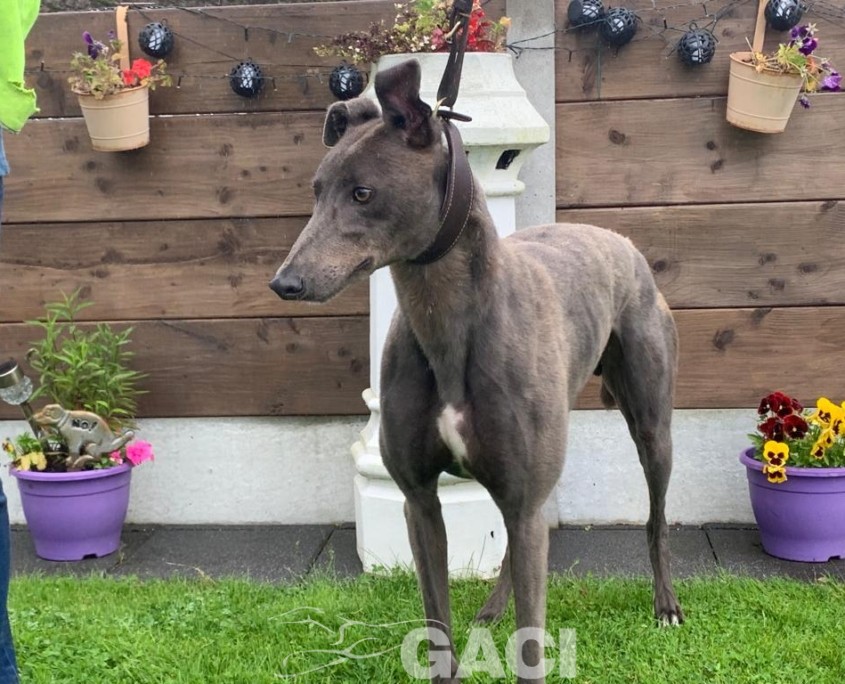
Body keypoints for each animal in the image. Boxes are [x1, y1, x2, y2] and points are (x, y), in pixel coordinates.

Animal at [270, 60, 683, 683]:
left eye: (363, 192)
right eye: (316, 191)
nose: (285, 282)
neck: (448, 326)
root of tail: (619, 240)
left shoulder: (524, 494)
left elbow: (532, 645)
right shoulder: (420, 500)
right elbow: (437, 623)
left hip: (650, 421)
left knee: (655, 518)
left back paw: (666, 604)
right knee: (515, 544)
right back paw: (491, 608)